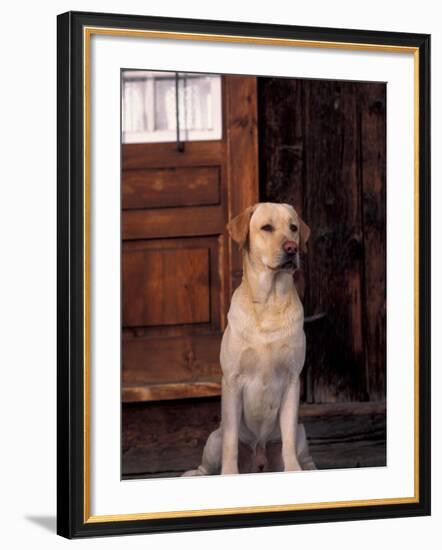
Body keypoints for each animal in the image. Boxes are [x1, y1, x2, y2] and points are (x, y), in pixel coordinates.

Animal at [184, 204, 314, 478]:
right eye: (267, 227)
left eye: (293, 228)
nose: (292, 248)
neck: (269, 302)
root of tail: (259, 460)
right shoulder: (232, 380)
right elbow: (232, 441)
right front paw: (229, 473)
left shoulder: (292, 380)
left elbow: (287, 440)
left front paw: (293, 471)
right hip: (214, 438)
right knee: (207, 463)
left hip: (301, 432)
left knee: (300, 450)